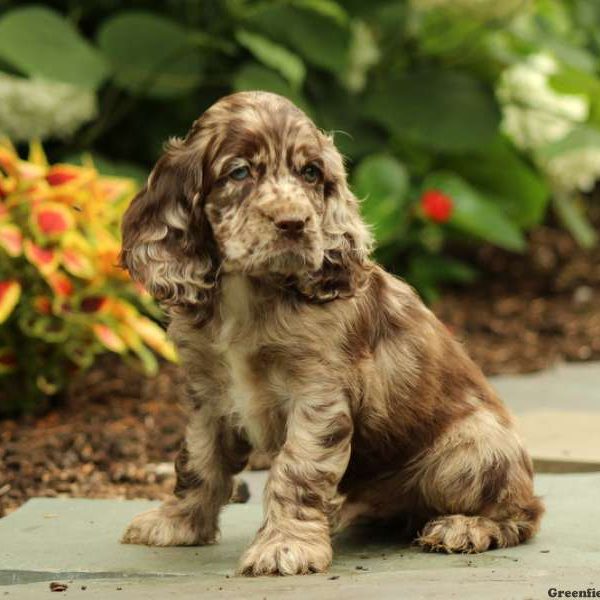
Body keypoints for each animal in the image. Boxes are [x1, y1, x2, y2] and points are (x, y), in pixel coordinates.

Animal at [119, 91, 540, 576]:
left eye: (311, 173)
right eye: (239, 172)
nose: (294, 223)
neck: (249, 295)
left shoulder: (318, 395)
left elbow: (296, 469)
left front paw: (285, 546)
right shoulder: (208, 394)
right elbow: (198, 461)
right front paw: (178, 523)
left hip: (470, 453)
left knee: (524, 514)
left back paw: (464, 528)